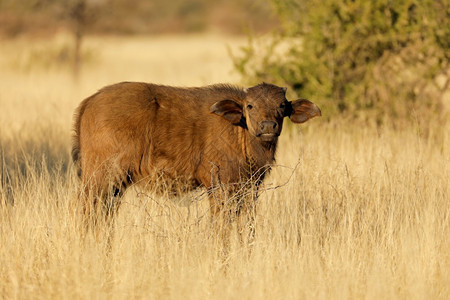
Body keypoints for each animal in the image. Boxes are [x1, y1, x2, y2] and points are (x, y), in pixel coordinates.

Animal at [72, 83, 320, 240]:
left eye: (281, 105)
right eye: (250, 105)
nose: (268, 126)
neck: (239, 131)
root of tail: (89, 102)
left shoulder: (249, 189)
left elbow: (246, 226)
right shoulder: (219, 188)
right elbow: (221, 226)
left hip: (114, 187)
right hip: (99, 180)